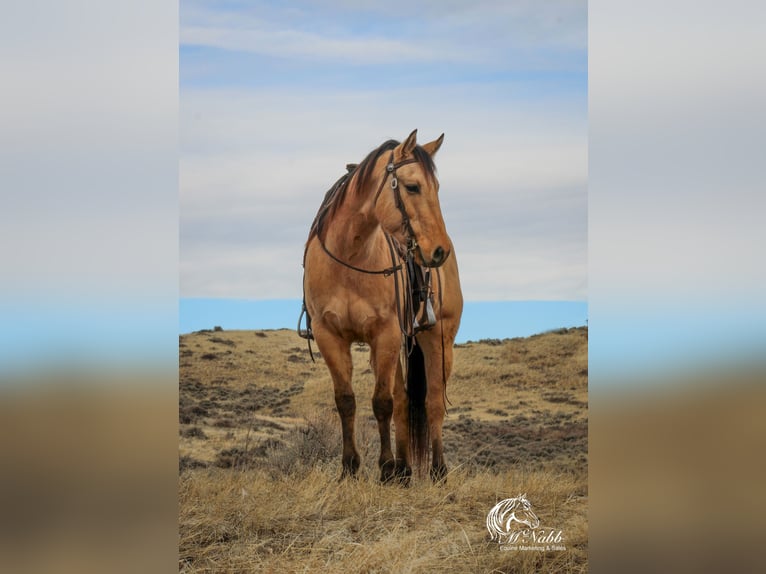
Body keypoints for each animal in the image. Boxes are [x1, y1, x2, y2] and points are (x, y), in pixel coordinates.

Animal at [304, 129, 464, 486]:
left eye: (437, 187)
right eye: (413, 186)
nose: (439, 250)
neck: (350, 255)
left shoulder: (385, 334)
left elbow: (382, 403)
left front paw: (386, 467)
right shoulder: (329, 336)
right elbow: (347, 401)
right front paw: (350, 468)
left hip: (438, 339)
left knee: (433, 402)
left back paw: (437, 470)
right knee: (404, 400)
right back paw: (405, 471)